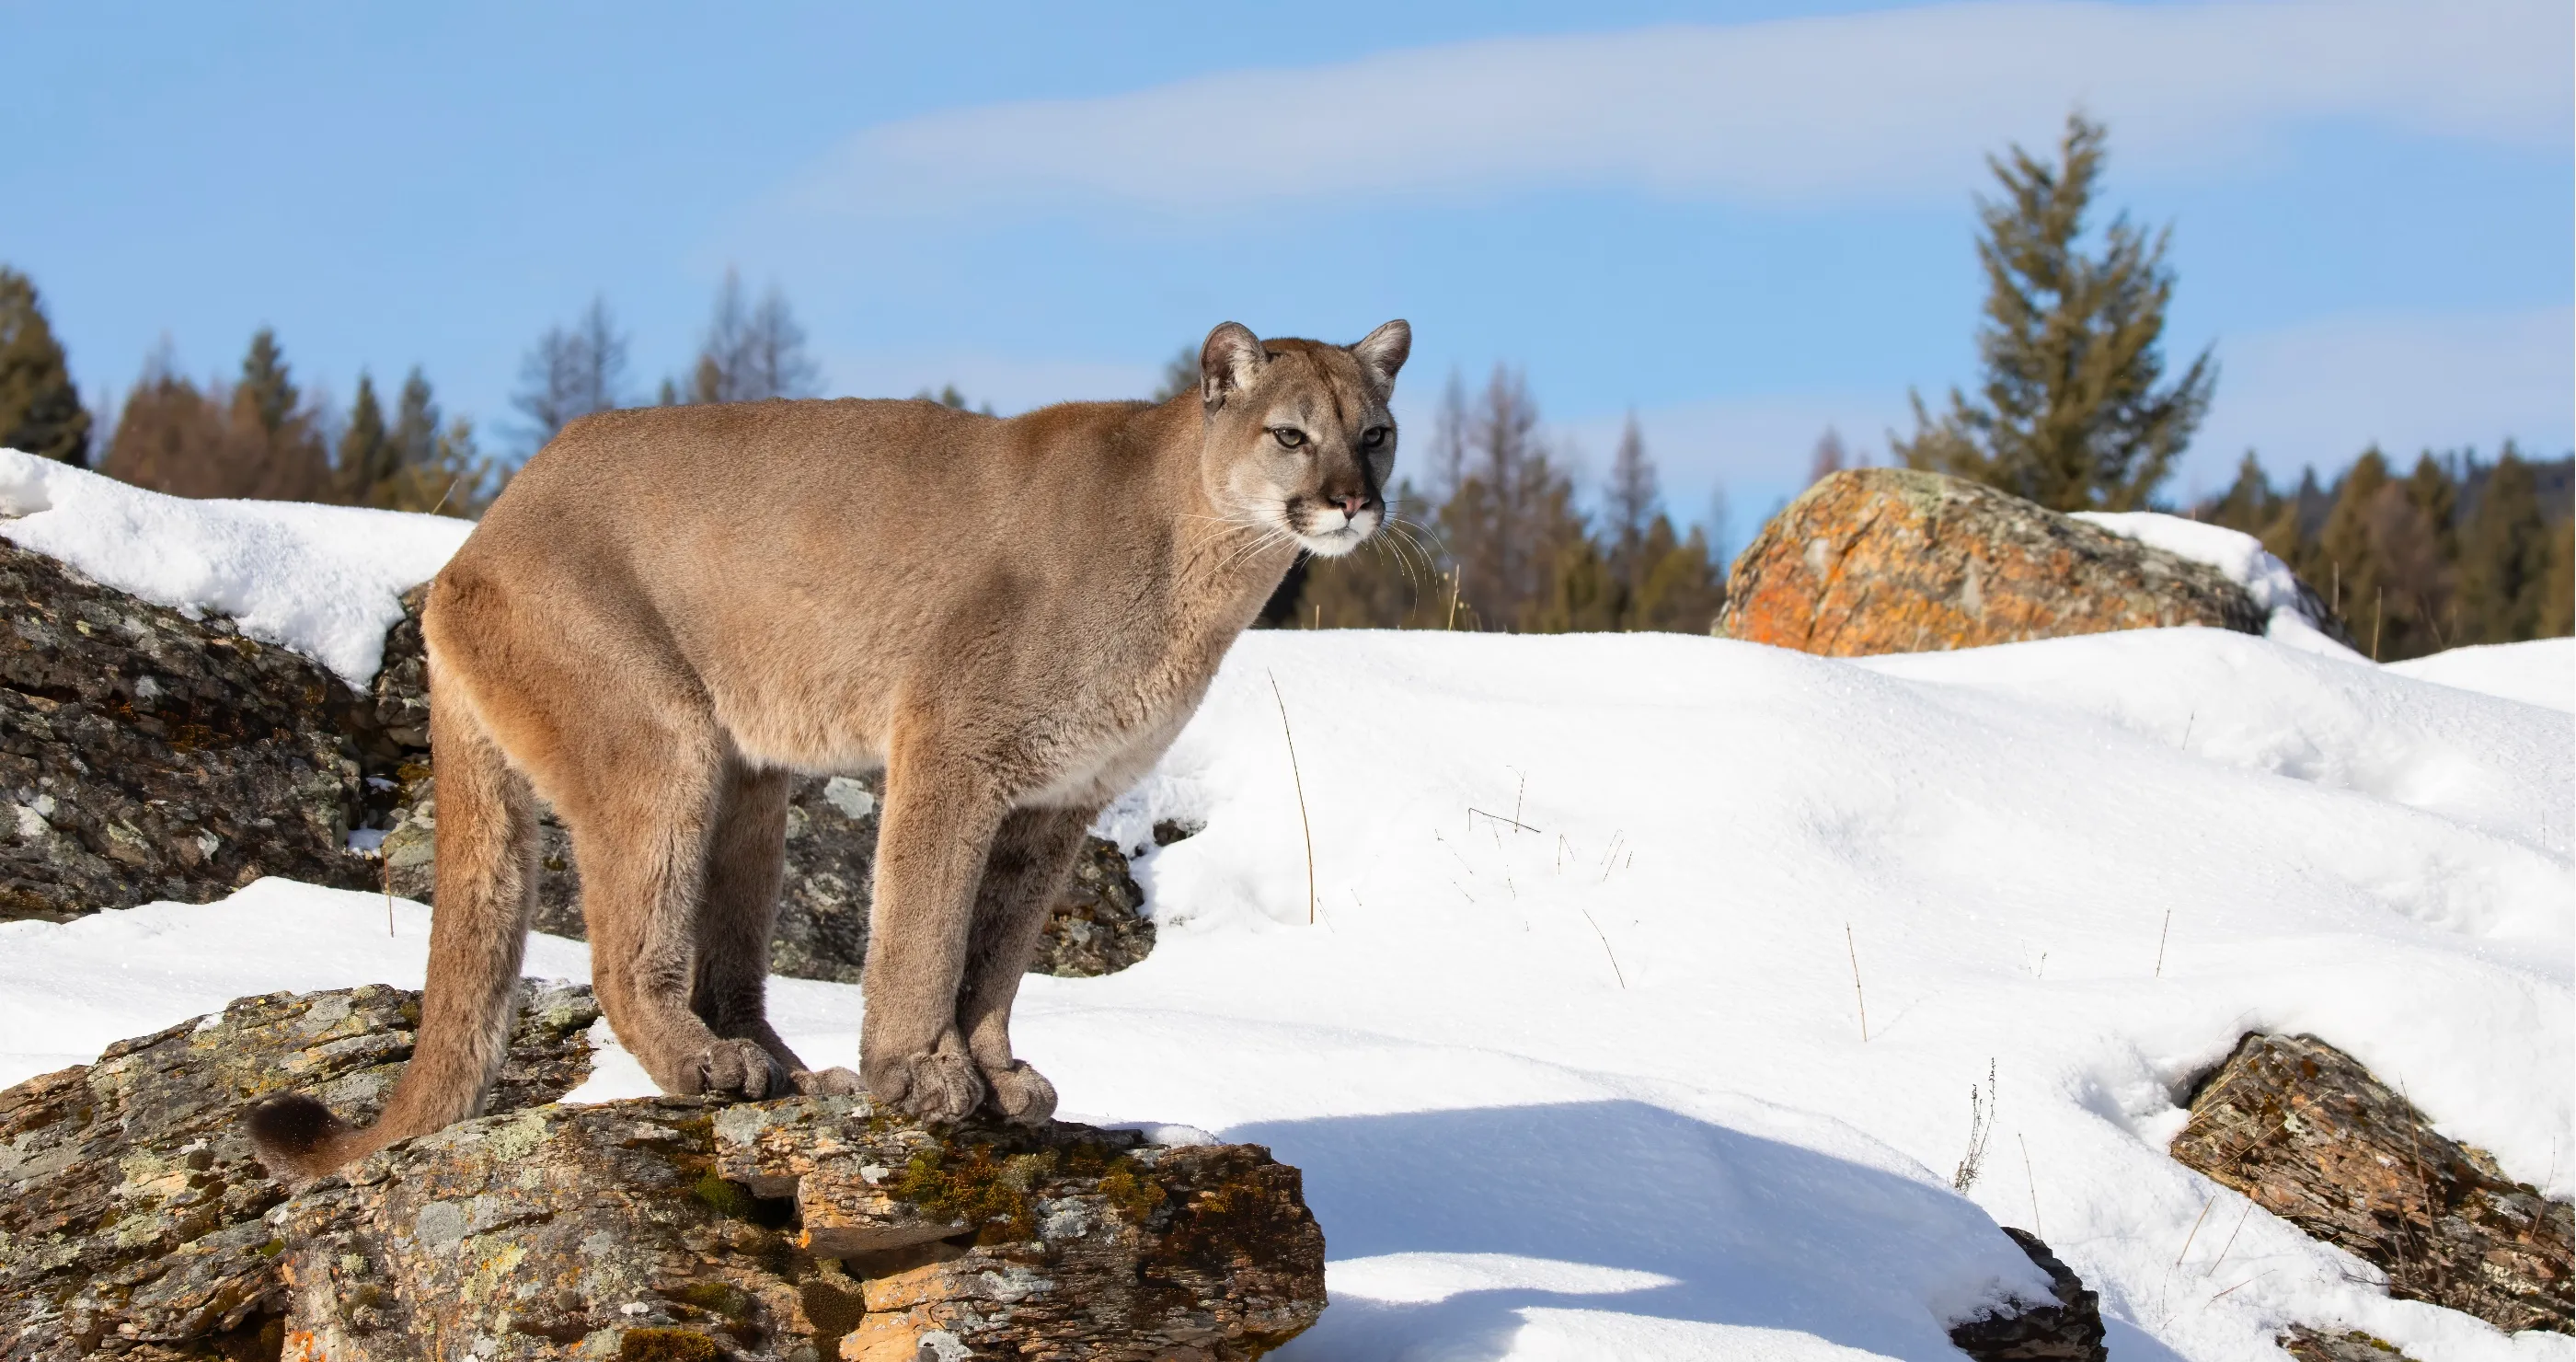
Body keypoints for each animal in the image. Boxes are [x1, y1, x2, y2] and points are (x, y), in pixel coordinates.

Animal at [246, 321, 1411, 1179]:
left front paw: (996, 1073)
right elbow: (925, 932)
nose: (1355, 499)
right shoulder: (954, 750)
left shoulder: (1055, 804)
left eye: (1376, 432)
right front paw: (919, 1072)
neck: (1200, 556)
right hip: (660, 739)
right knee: (627, 954)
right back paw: (708, 1067)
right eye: (1291, 435)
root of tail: (476, 539)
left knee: (729, 969)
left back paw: (793, 1079)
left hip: (752, 785)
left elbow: (997, 954)